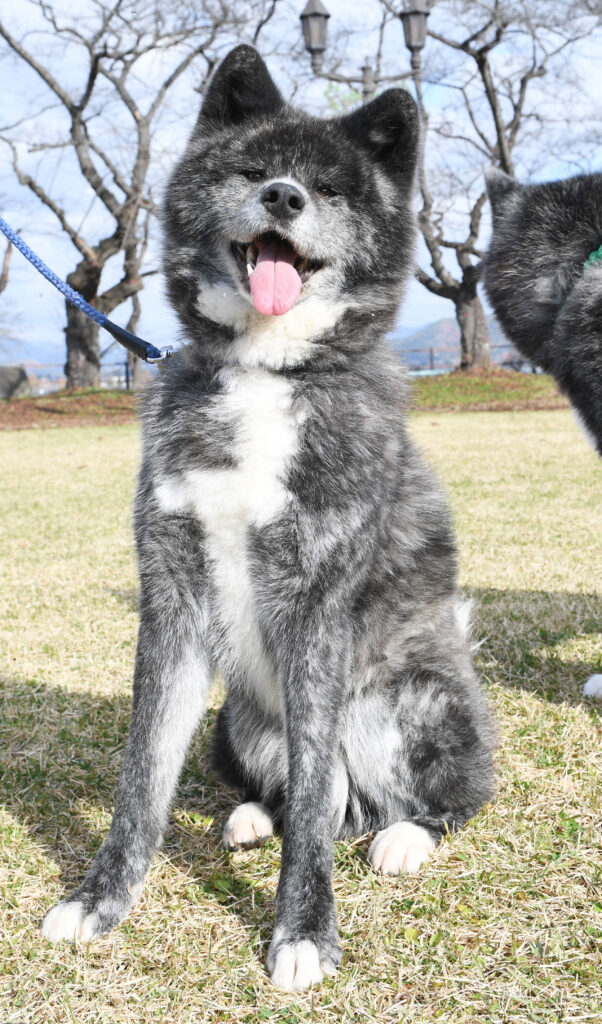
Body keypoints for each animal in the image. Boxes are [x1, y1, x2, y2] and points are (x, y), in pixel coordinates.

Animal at [41, 46, 493, 991]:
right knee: (303, 793)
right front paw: (100, 902)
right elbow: (143, 776)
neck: (263, 372)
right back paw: (252, 816)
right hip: (241, 720)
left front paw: (303, 933)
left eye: (327, 188)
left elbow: (317, 807)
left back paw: (403, 837)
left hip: (409, 704)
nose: (284, 197)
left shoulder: (319, 606)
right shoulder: (170, 598)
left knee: (421, 800)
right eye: (254, 173)